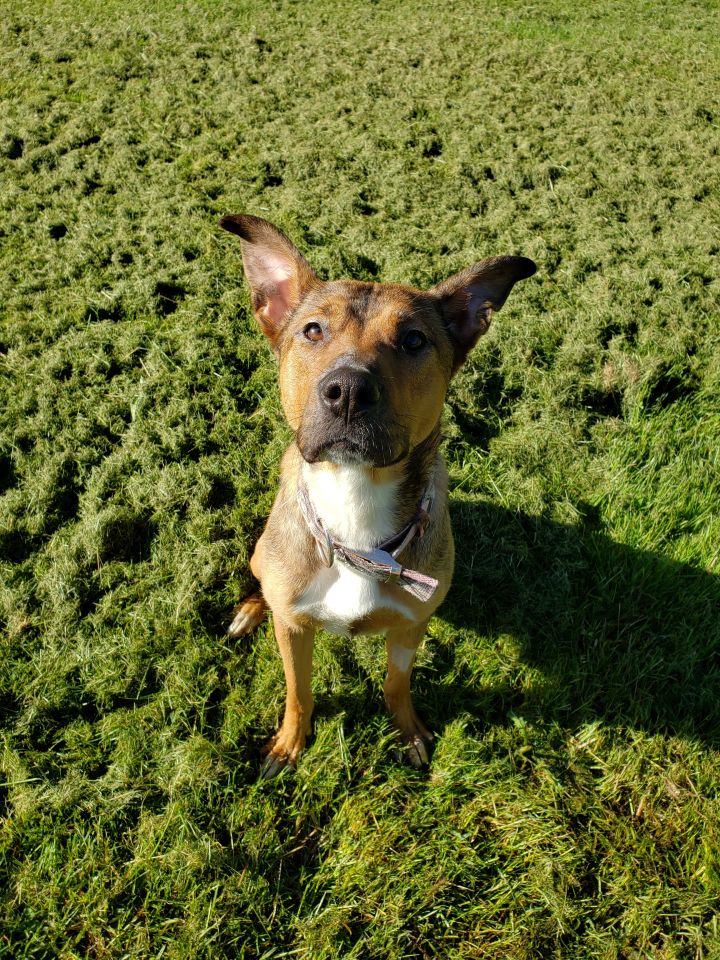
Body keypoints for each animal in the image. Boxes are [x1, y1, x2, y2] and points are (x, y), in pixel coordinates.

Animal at [219, 214, 536, 776]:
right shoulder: (294, 631)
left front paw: (407, 730)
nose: (347, 390)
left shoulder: (411, 627)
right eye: (313, 330)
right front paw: (289, 742)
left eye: (413, 339)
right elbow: (298, 691)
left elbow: (396, 682)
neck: (355, 502)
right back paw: (252, 610)